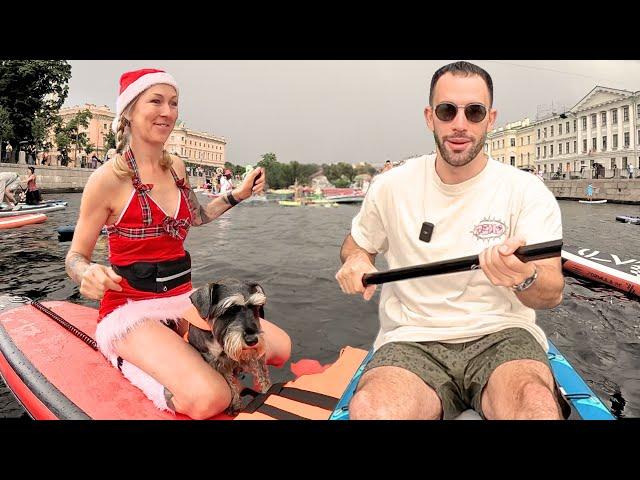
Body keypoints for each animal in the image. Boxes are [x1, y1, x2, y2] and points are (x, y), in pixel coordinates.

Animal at [188, 280, 272, 414]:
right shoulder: (217, 362)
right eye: (230, 310)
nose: (252, 340)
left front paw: (267, 390)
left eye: (255, 307)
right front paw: (235, 403)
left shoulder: (255, 355)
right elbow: (230, 384)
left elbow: (262, 373)